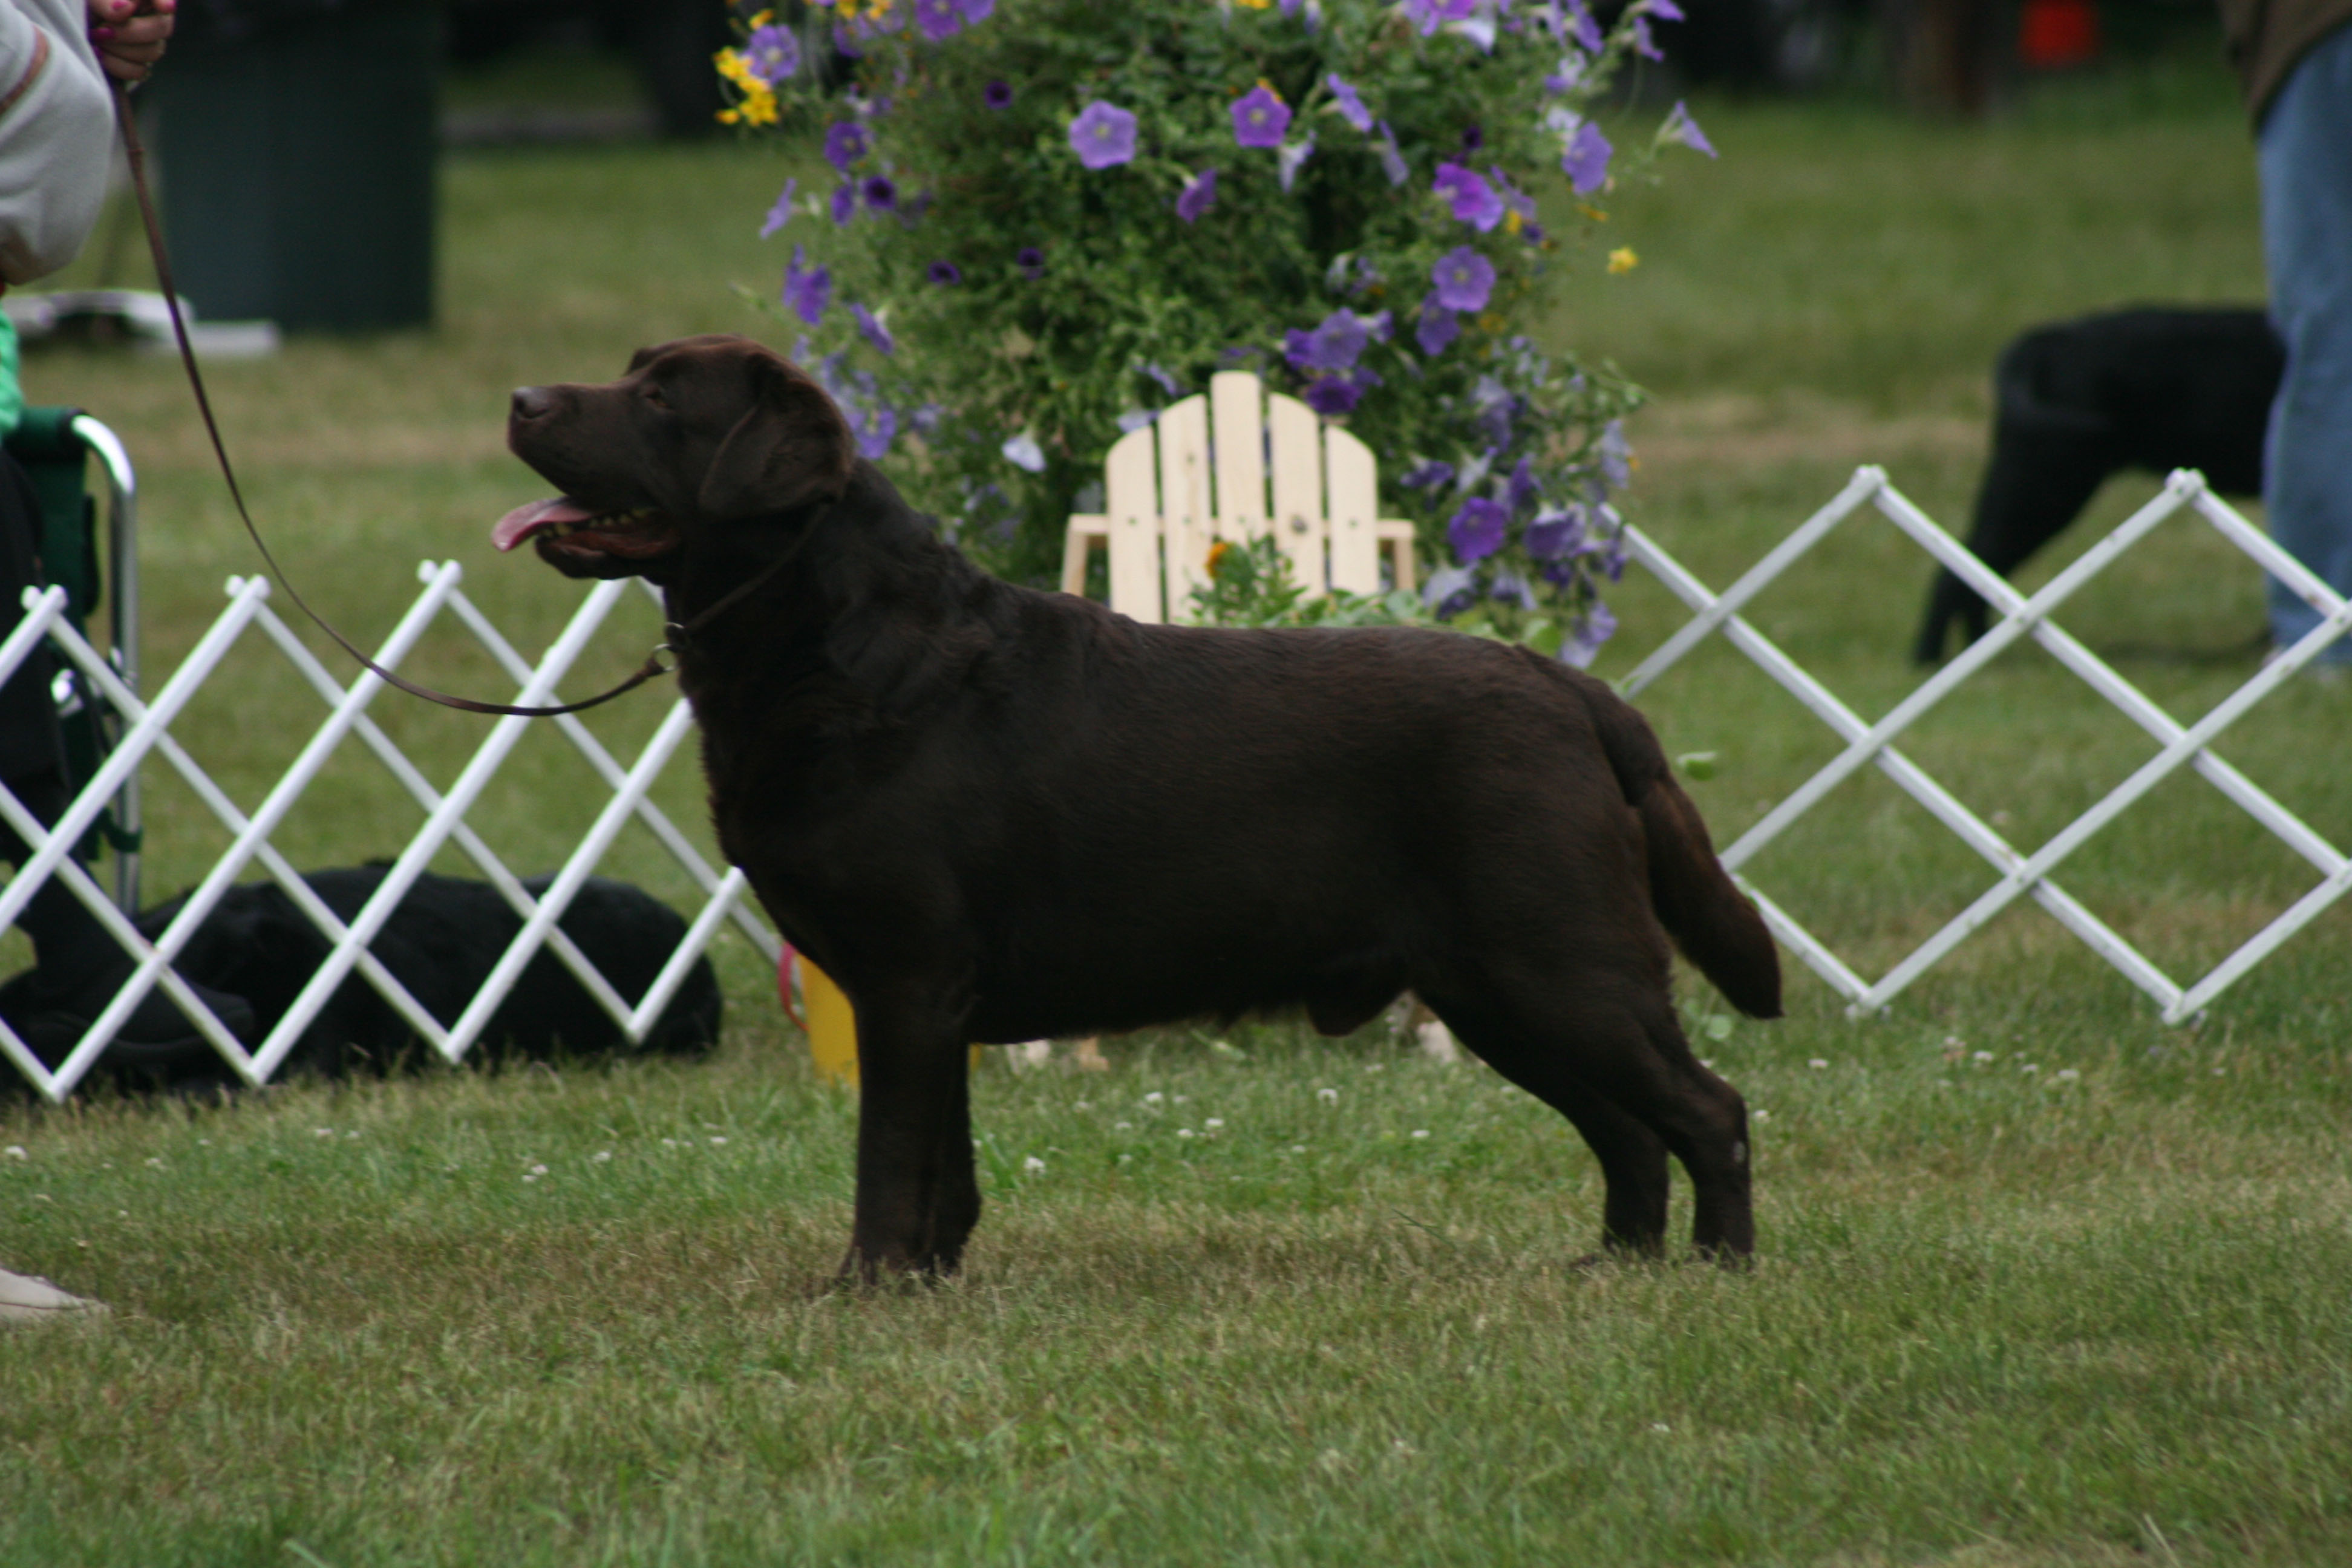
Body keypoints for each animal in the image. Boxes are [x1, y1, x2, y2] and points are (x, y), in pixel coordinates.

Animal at [491, 338, 1778, 1279]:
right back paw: (1614, 1266)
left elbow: (889, 1158)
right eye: (632, 373)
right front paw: (929, 1280)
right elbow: (947, 1163)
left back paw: (1715, 1269)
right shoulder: (933, 998)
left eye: (659, 398)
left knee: (1705, 1108)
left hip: (1557, 964)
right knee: (1627, 1129)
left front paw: (865, 1285)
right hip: (1497, 988)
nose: (518, 398)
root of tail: (1569, 686)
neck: (841, 647)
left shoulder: (907, 979)